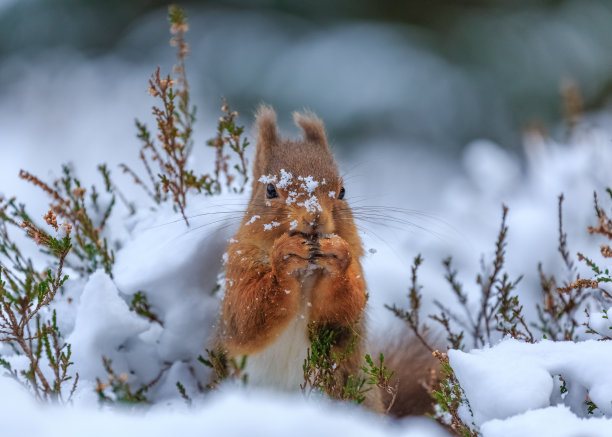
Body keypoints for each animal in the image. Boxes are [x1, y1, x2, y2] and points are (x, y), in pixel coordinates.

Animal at [215, 105, 436, 412]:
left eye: (342, 191)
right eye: (270, 189)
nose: (314, 217)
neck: (305, 271)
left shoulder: (357, 272)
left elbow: (342, 310)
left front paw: (336, 256)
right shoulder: (238, 268)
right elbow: (247, 316)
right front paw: (283, 257)